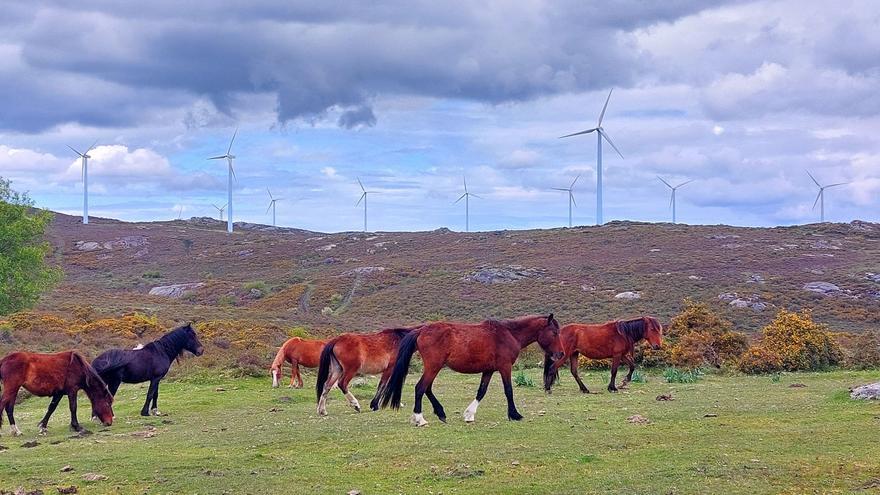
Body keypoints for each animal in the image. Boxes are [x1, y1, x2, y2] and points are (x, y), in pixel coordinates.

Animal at [380, 316, 560, 428]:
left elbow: (481, 391)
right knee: (420, 388)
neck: (509, 334)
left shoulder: (488, 370)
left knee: (427, 389)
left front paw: (469, 415)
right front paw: (515, 414)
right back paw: (420, 419)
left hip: (434, 367)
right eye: (554, 332)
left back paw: (440, 413)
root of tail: (422, 330)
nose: (560, 354)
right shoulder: (505, 367)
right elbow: (508, 390)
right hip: (433, 367)